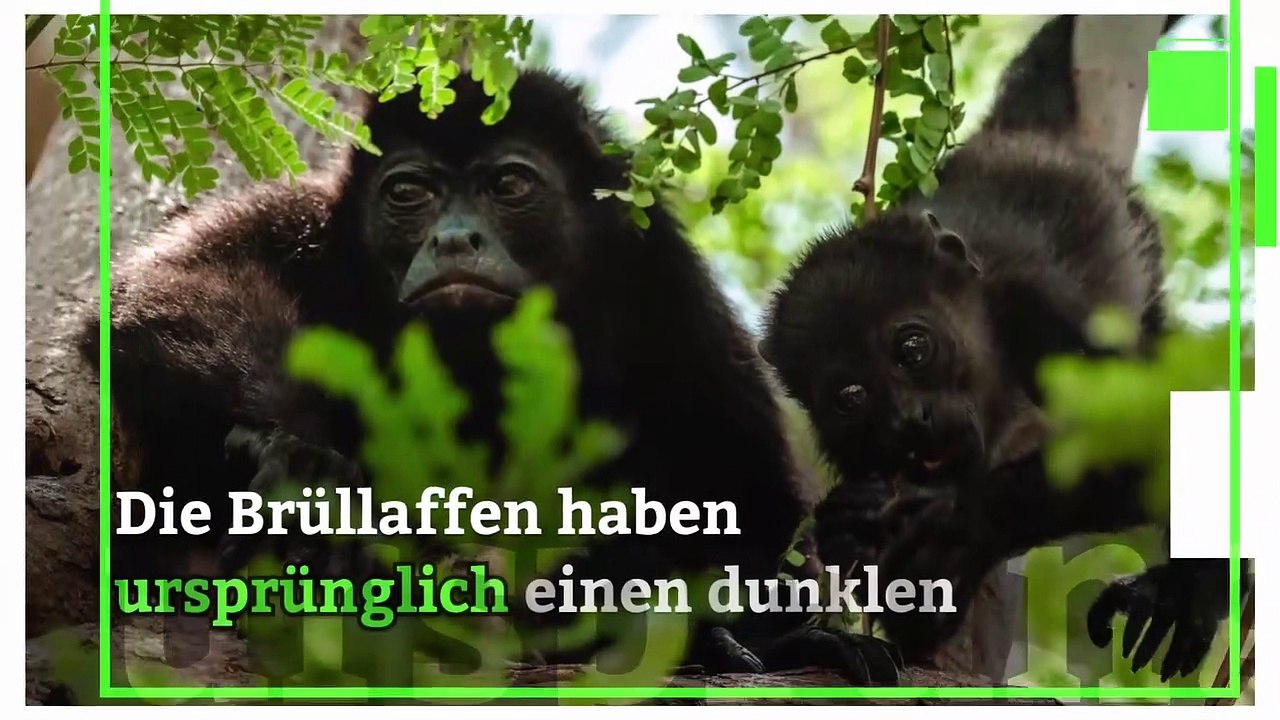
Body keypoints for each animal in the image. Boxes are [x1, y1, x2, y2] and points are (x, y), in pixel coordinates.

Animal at [80, 69, 901, 684]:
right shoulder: (306, 219)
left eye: (508, 185)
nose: (454, 238)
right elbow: (169, 288)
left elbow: (747, 491)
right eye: (409, 193)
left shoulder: (670, 288)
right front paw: (305, 471)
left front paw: (778, 635)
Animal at [758, 14, 1247, 681]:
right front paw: (847, 528)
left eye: (913, 348)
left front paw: (963, 518)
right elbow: (919, 622)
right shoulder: (848, 450)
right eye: (850, 396)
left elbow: (1153, 429)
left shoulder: (1035, 316)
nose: (910, 418)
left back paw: (1196, 586)